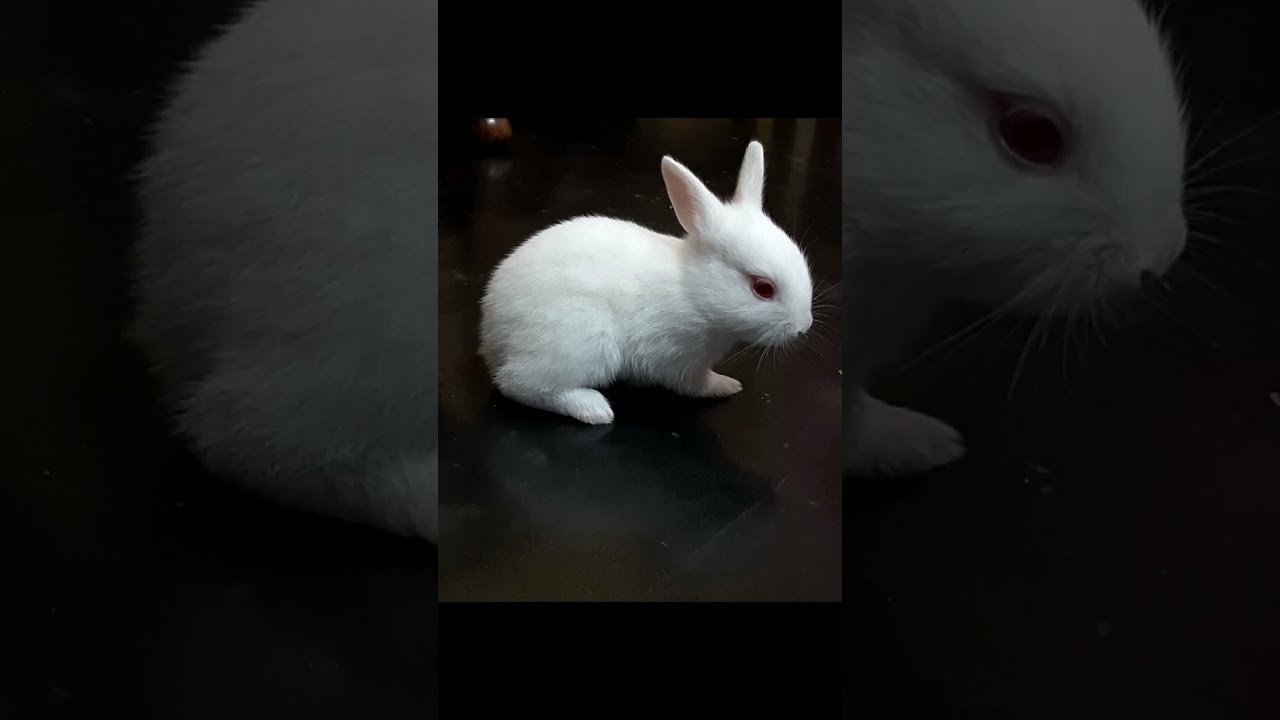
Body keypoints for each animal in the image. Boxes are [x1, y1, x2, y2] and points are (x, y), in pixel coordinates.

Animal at [478, 140, 815, 425]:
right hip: (581, 344)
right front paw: (725, 385)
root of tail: (491, 336)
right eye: (763, 288)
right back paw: (594, 408)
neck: (694, 291)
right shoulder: (681, 362)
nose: (803, 327)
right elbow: (695, 384)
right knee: (519, 384)